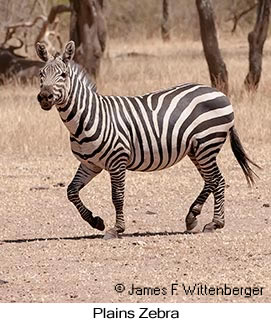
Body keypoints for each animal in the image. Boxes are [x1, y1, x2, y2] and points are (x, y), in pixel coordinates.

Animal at [35, 40, 260, 239]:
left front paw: (116, 229)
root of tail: (220, 93)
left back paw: (215, 223)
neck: (89, 117)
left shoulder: (117, 160)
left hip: (207, 143)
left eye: (63, 75)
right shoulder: (90, 164)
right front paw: (95, 221)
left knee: (218, 181)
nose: (44, 97)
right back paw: (192, 217)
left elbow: (117, 196)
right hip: (197, 150)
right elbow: (71, 191)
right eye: (41, 74)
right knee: (210, 181)